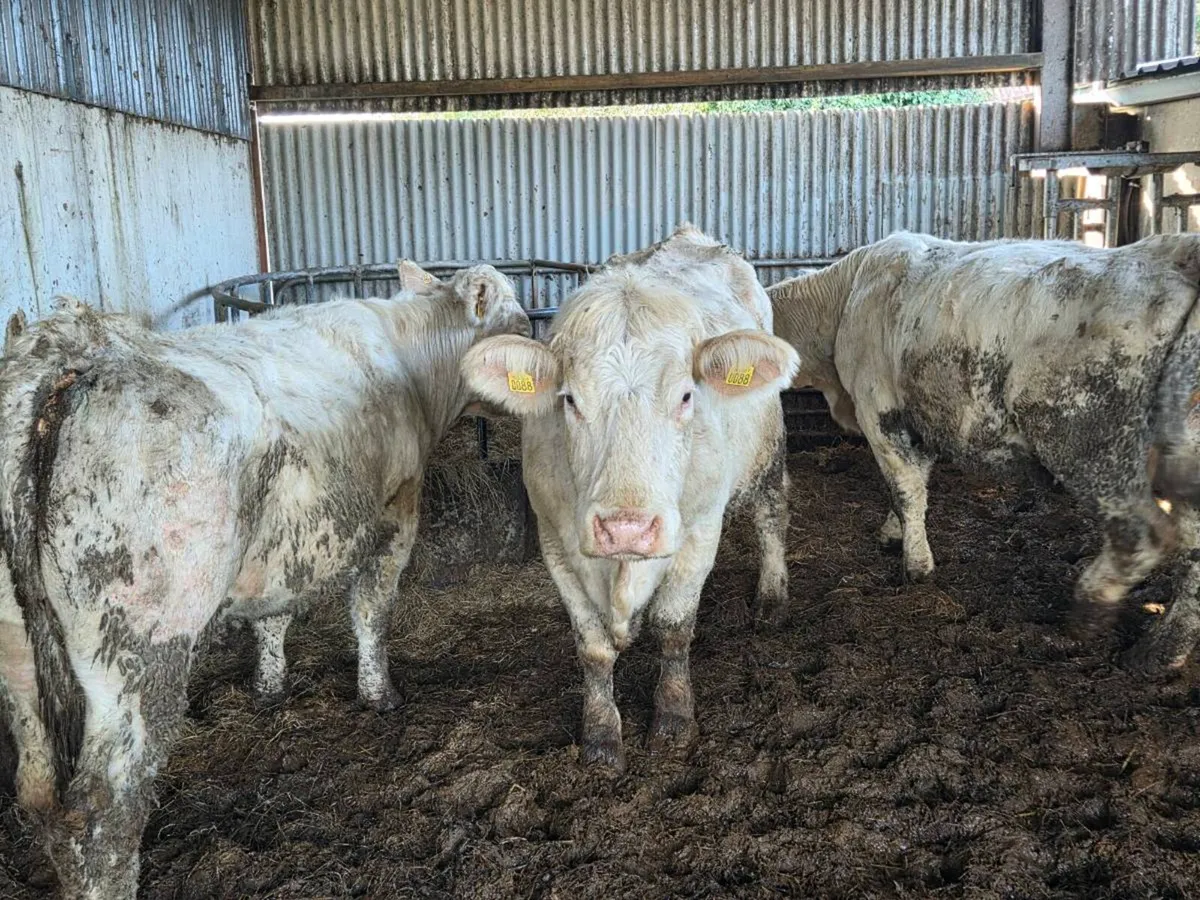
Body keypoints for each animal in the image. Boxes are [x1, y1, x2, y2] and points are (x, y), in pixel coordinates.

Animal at [0, 265, 529, 898]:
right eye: (523, 323)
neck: (412, 355)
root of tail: (69, 356)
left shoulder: (278, 552)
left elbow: (272, 616)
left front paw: (269, 685)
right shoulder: (395, 518)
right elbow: (371, 614)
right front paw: (380, 694)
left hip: (20, 664)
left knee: (39, 795)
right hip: (136, 646)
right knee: (103, 810)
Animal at [462, 225, 799, 772]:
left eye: (685, 395)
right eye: (570, 400)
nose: (627, 528)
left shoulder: (700, 529)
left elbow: (675, 626)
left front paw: (674, 719)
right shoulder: (555, 539)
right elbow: (594, 648)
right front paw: (601, 737)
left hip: (768, 449)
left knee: (771, 516)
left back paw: (772, 597)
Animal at [768, 231, 1200, 667]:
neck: (845, 299)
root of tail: (1173, 250)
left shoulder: (880, 410)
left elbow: (906, 488)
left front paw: (917, 567)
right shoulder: (924, 415)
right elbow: (913, 483)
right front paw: (895, 534)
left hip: (1089, 443)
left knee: (1138, 535)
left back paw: (1086, 615)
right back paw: (1163, 650)